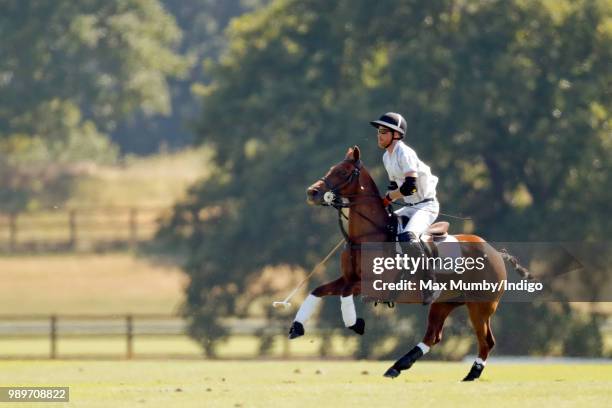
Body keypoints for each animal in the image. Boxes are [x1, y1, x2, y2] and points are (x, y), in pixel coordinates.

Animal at [286, 145, 532, 380]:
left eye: (343, 172)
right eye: (332, 168)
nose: (312, 192)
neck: (367, 236)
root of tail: (496, 252)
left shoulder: (374, 285)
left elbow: (345, 293)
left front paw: (356, 323)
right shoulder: (348, 278)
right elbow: (317, 290)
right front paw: (297, 327)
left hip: (481, 305)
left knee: (486, 341)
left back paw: (472, 374)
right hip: (444, 302)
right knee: (433, 336)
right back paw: (396, 367)